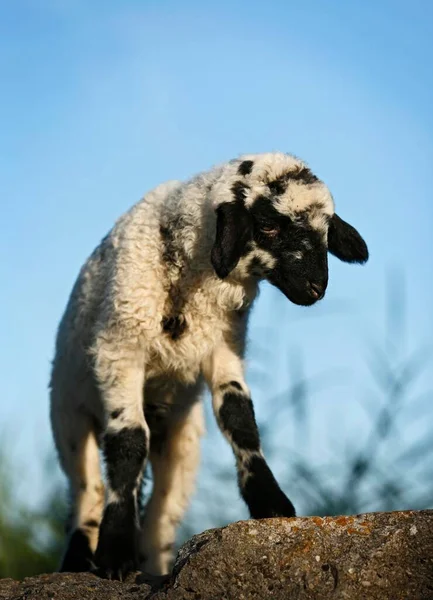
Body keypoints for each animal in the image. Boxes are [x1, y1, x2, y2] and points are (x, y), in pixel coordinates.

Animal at [50, 152, 368, 580]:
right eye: (267, 226)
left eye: (325, 232)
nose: (316, 288)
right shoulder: (120, 348)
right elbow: (128, 442)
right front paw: (114, 553)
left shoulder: (224, 346)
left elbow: (240, 420)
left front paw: (270, 503)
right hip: (68, 415)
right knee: (86, 489)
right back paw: (80, 558)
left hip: (180, 444)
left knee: (161, 515)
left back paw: (153, 566)